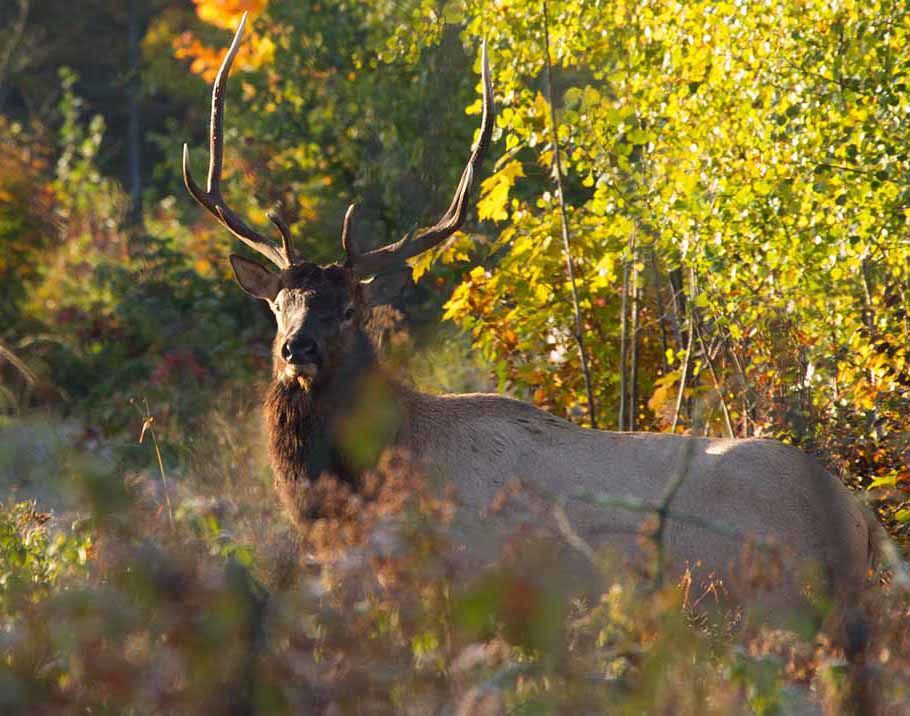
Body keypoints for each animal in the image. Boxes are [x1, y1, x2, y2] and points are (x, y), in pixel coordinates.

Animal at [182, 15, 881, 627]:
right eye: (278, 304)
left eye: (350, 308)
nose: (297, 349)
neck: (366, 491)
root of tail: (863, 521)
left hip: (773, 601)